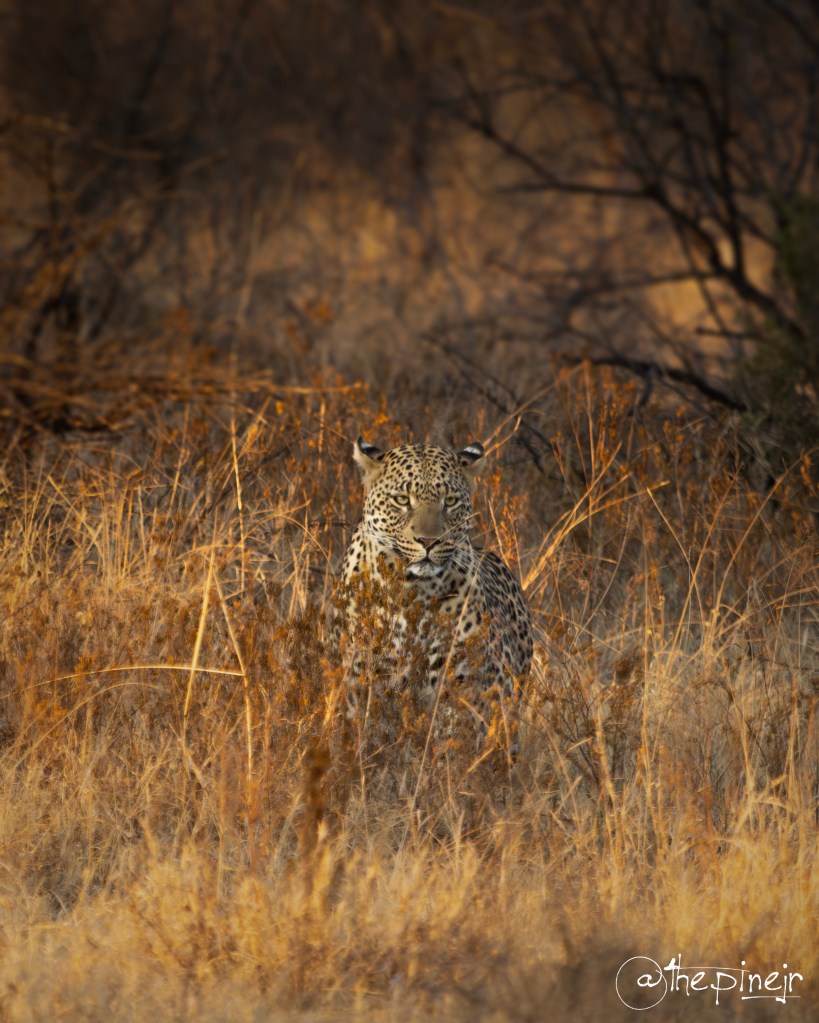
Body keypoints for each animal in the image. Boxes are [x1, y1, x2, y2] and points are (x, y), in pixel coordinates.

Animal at [335, 436, 532, 751]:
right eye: (402, 500)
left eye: (449, 501)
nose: (428, 541)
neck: (411, 591)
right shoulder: (367, 677)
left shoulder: (461, 682)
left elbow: (453, 742)